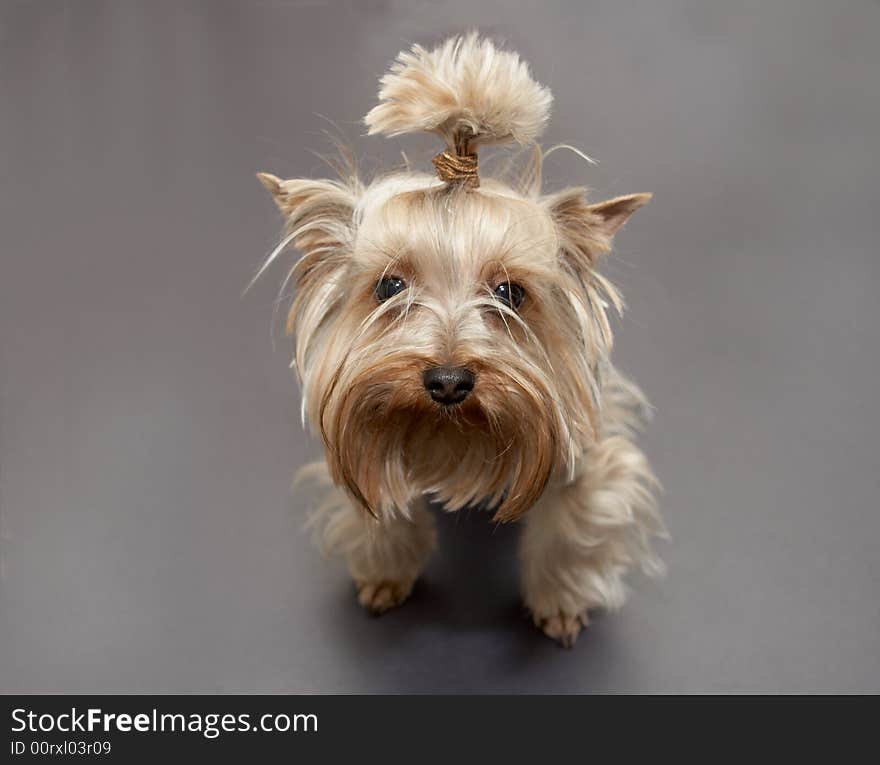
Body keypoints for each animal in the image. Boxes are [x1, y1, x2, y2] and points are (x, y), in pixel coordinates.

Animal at [258, 34, 664, 644]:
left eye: (510, 293)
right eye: (390, 286)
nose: (448, 381)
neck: (448, 435)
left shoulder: (588, 457)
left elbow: (572, 527)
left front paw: (561, 601)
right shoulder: (357, 431)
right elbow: (377, 504)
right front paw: (385, 574)